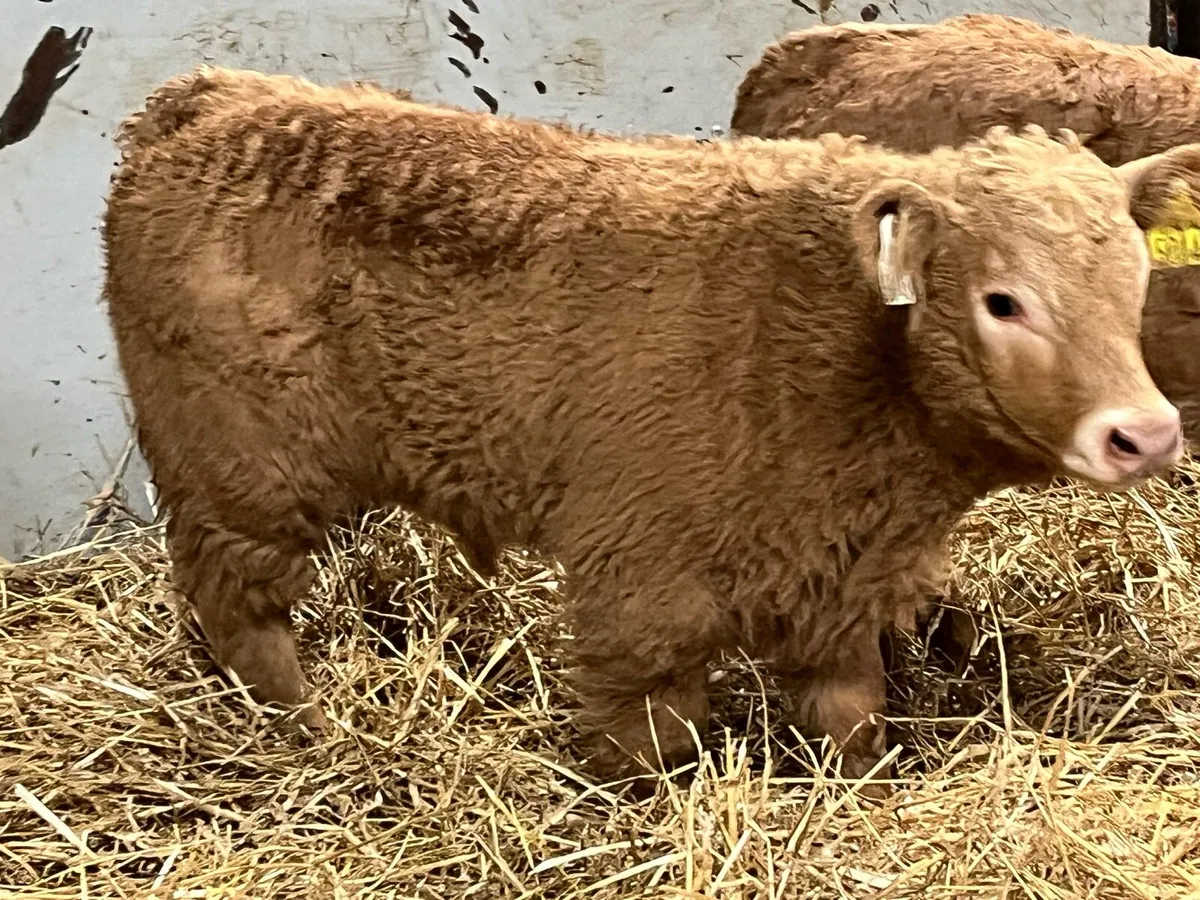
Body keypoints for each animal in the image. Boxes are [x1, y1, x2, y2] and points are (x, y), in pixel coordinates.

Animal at [103, 66, 1191, 795]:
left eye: (1135, 278)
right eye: (1003, 301)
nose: (1143, 434)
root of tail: (208, 96)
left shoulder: (842, 582)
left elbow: (846, 715)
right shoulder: (645, 576)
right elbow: (653, 728)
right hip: (238, 471)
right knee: (245, 612)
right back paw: (307, 726)